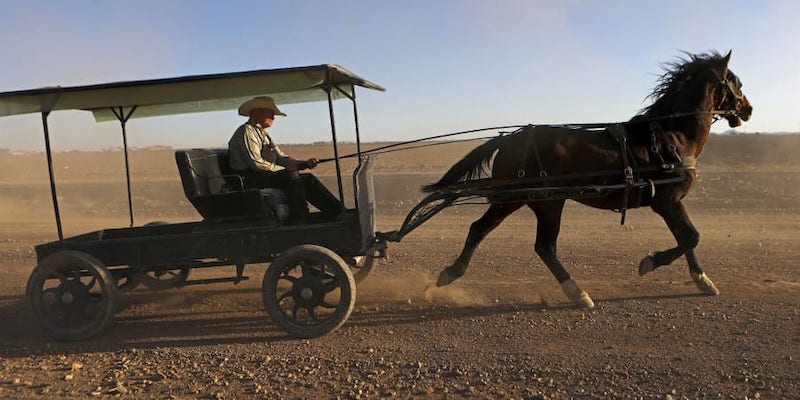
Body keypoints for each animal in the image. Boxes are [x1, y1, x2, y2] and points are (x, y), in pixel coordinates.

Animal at [424, 51, 752, 308]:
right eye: (736, 82)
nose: (748, 109)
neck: (669, 136)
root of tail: (510, 138)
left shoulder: (672, 201)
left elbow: (688, 238)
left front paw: (703, 281)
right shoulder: (666, 201)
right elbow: (691, 237)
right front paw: (649, 263)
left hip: (522, 199)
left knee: (486, 230)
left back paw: (452, 272)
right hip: (542, 201)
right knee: (541, 245)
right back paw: (577, 293)